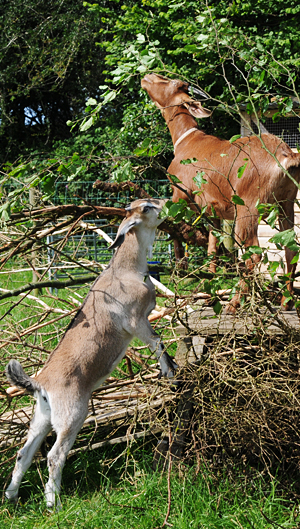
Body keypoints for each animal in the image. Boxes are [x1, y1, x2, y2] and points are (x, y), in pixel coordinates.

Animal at [4, 197, 177, 508]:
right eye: (146, 208)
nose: (167, 202)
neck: (126, 270)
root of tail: (40, 383)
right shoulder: (135, 321)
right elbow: (157, 341)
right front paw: (169, 370)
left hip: (42, 417)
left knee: (24, 453)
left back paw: (11, 496)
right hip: (72, 414)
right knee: (54, 455)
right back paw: (54, 504)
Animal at [141, 72, 300, 312]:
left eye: (173, 83)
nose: (148, 76)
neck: (186, 141)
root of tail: (286, 155)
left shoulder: (180, 194)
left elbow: (174, 226)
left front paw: (181, 264)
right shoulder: (213, 211)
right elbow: (212, 249)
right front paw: (209, 290)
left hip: (248, 208)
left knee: (253, 254)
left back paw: (235, 304)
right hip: (285, 204)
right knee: (291, 249)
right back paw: (286, 302)